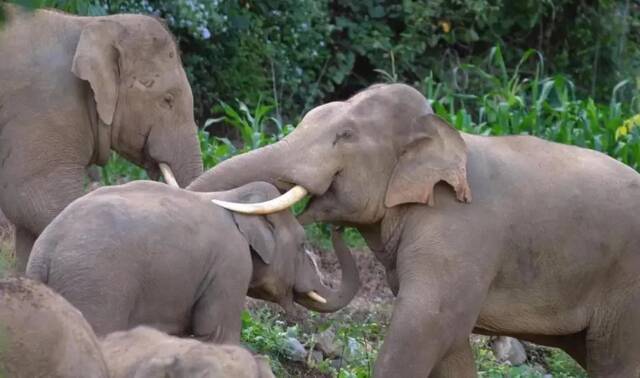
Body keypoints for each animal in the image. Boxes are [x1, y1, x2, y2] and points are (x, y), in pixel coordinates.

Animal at [25, 180, 360, 342]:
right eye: (302, 243)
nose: (340, 227)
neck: (234, 197)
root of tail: (45, 251)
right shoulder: (231, 265)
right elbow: (218, 333)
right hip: (97, 286)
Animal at [190, 83, 640, 378]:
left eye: (345, 136)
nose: (334, 232)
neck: (443, 133)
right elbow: (450, 344)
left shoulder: (460, 236)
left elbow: (427, 325)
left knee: (614, 360)